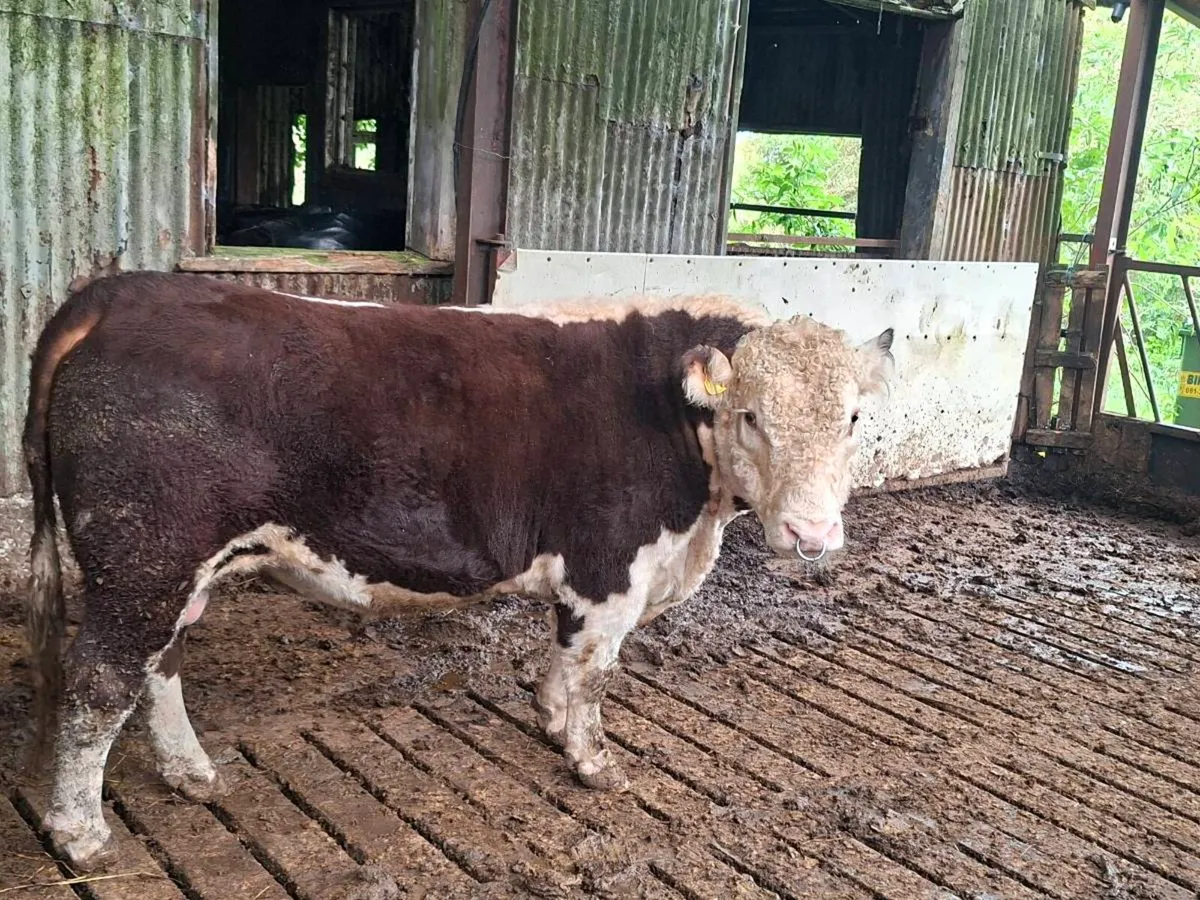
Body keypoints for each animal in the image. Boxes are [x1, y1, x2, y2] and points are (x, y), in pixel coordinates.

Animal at [22, 271, 894, 869]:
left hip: (170, 572)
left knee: (158, 664)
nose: (813, 533)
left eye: (853, 417)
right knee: (100, 680)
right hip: (144, 558)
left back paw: (190, 771)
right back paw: (81, 833)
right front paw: (593, 762)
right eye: (751, 415)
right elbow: (594, 674)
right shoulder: (610, 567)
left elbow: (561, 659)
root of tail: (124, 291)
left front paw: (550, 723)